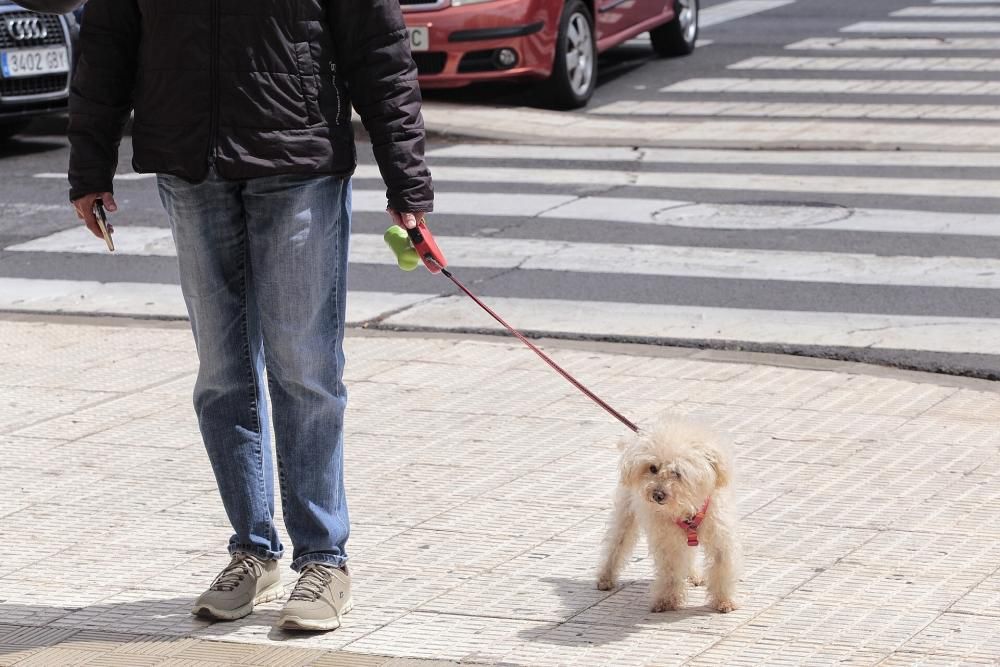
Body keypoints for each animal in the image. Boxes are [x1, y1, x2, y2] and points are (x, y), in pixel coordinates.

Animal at [592, 420, 744, 612]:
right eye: (653, 468)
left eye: (677, 473)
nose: (657, 495)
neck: (686, 507)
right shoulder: (667, 542)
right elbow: (670, 571)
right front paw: (667, 600)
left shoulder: (720, 538)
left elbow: (722, 567)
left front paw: (725, 600)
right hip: (626, 515)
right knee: (616, 545)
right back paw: (606, 577)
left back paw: (693, 575)